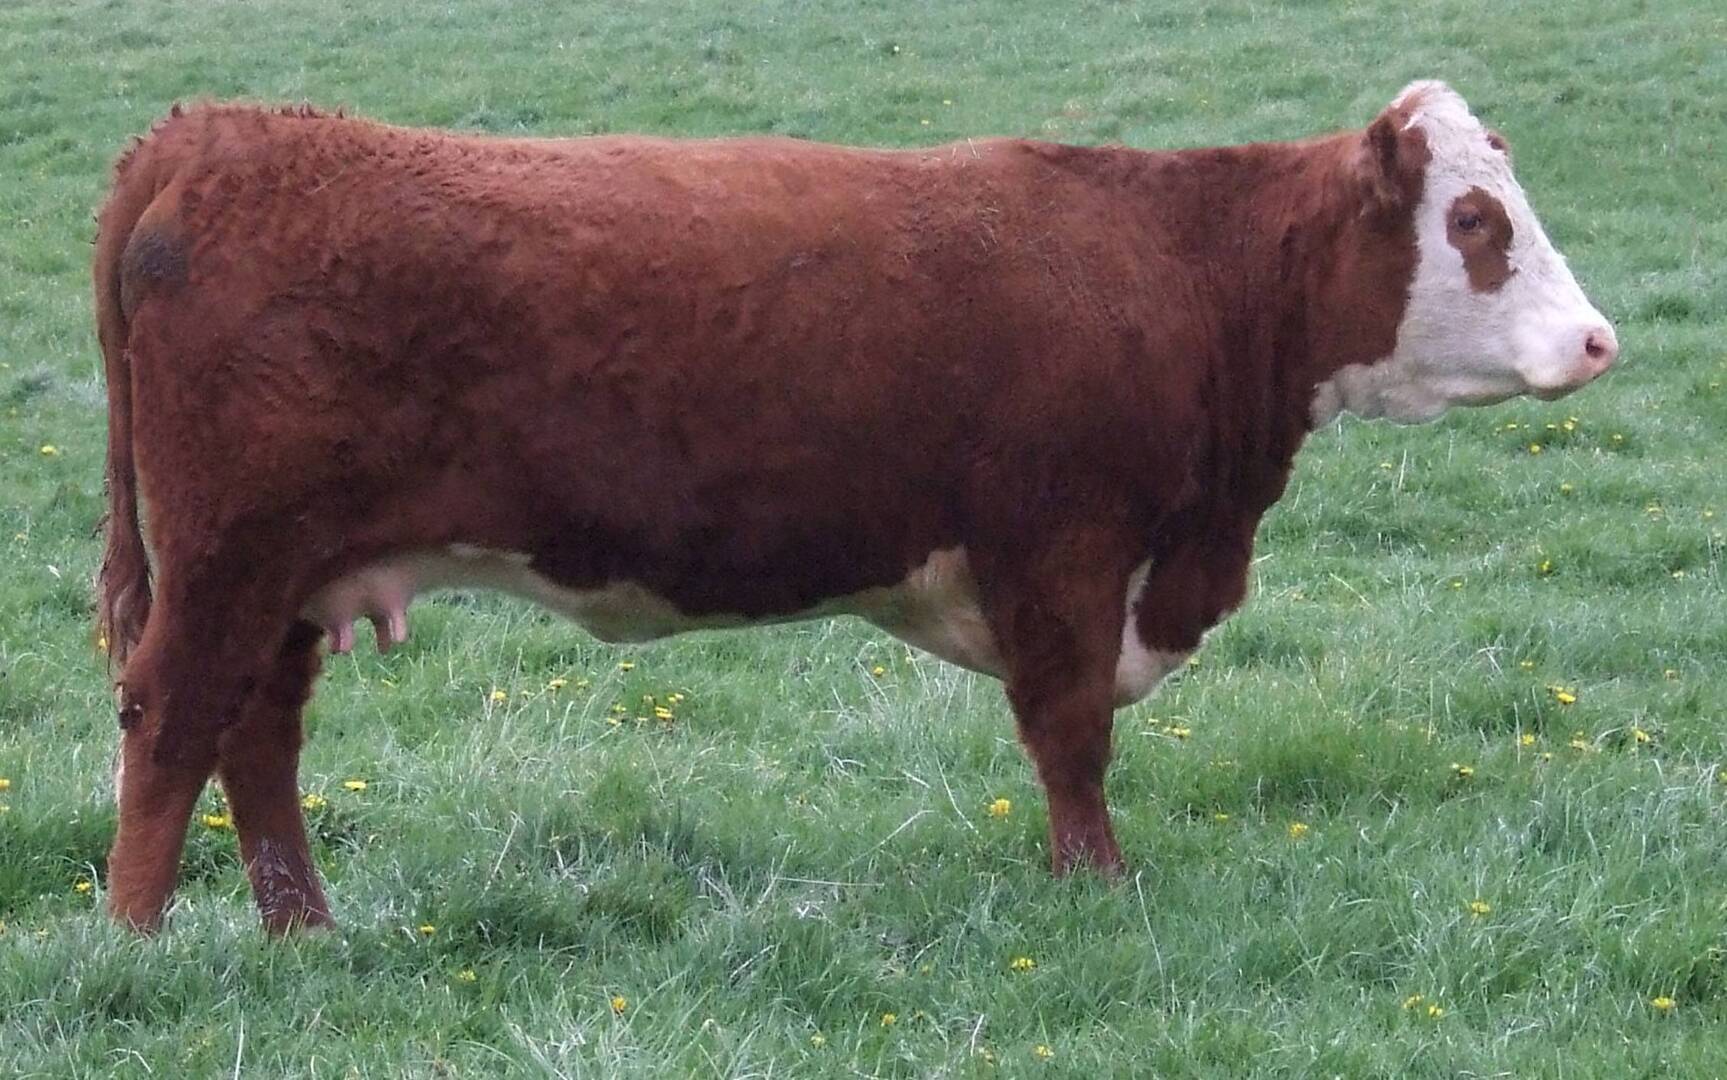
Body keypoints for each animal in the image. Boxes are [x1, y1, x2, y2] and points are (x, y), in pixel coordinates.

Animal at [92, 81, 1617, 932]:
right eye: (1473, 222)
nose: (1599, 341)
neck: (1173, 268)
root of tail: (211, 136)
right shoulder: (1061, 549)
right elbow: (1068, 736)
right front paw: (1096, 891)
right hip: (231, 555)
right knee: (173, 715)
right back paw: (135, 942)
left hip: (295, 574)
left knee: (257, 735)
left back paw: (304, 932)